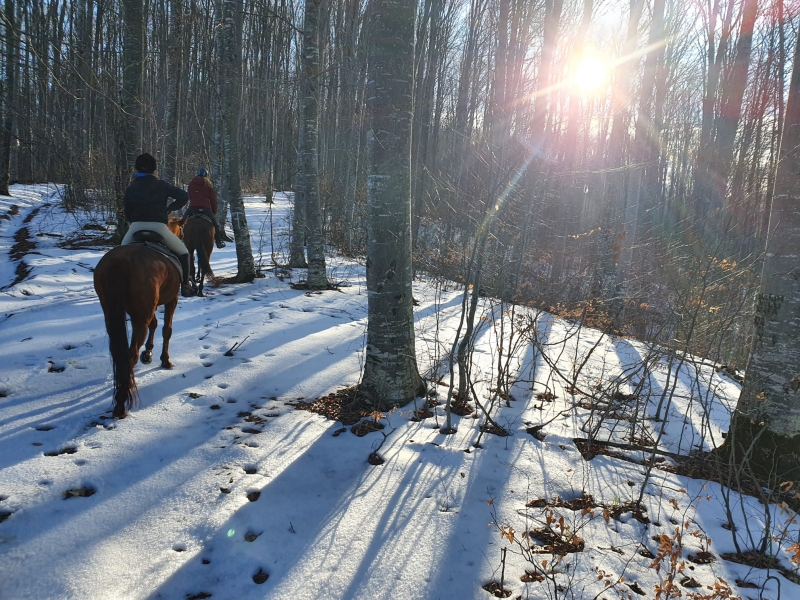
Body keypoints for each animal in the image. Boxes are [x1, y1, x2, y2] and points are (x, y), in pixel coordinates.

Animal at [93, 244, 180, 418]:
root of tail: (122, 259)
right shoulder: (172, 299)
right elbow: (166, 330)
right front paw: (165, 360)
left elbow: (154, 324)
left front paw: (148, 353)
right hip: (140, 319)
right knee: (131, 354)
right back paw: (121, 403)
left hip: (111, 314)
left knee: (119, 353)